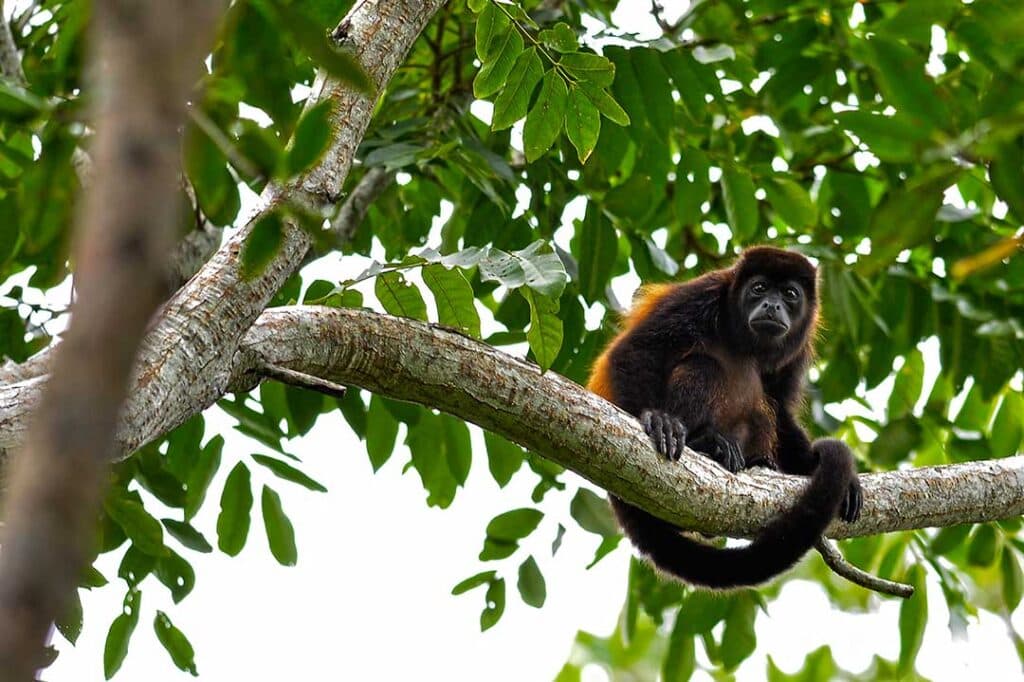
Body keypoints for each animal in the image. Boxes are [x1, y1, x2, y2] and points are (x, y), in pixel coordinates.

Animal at [587, 246, 862, 588]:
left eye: (790, 294)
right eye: (759, 288)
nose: (772, 305)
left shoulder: (798, 346)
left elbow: (781, 409)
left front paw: (826, 470)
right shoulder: (701, 296)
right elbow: (636, 351)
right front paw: (657, 420)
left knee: (764, 410)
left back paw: (756, 460)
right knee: (703, 366)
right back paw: (705, 443)